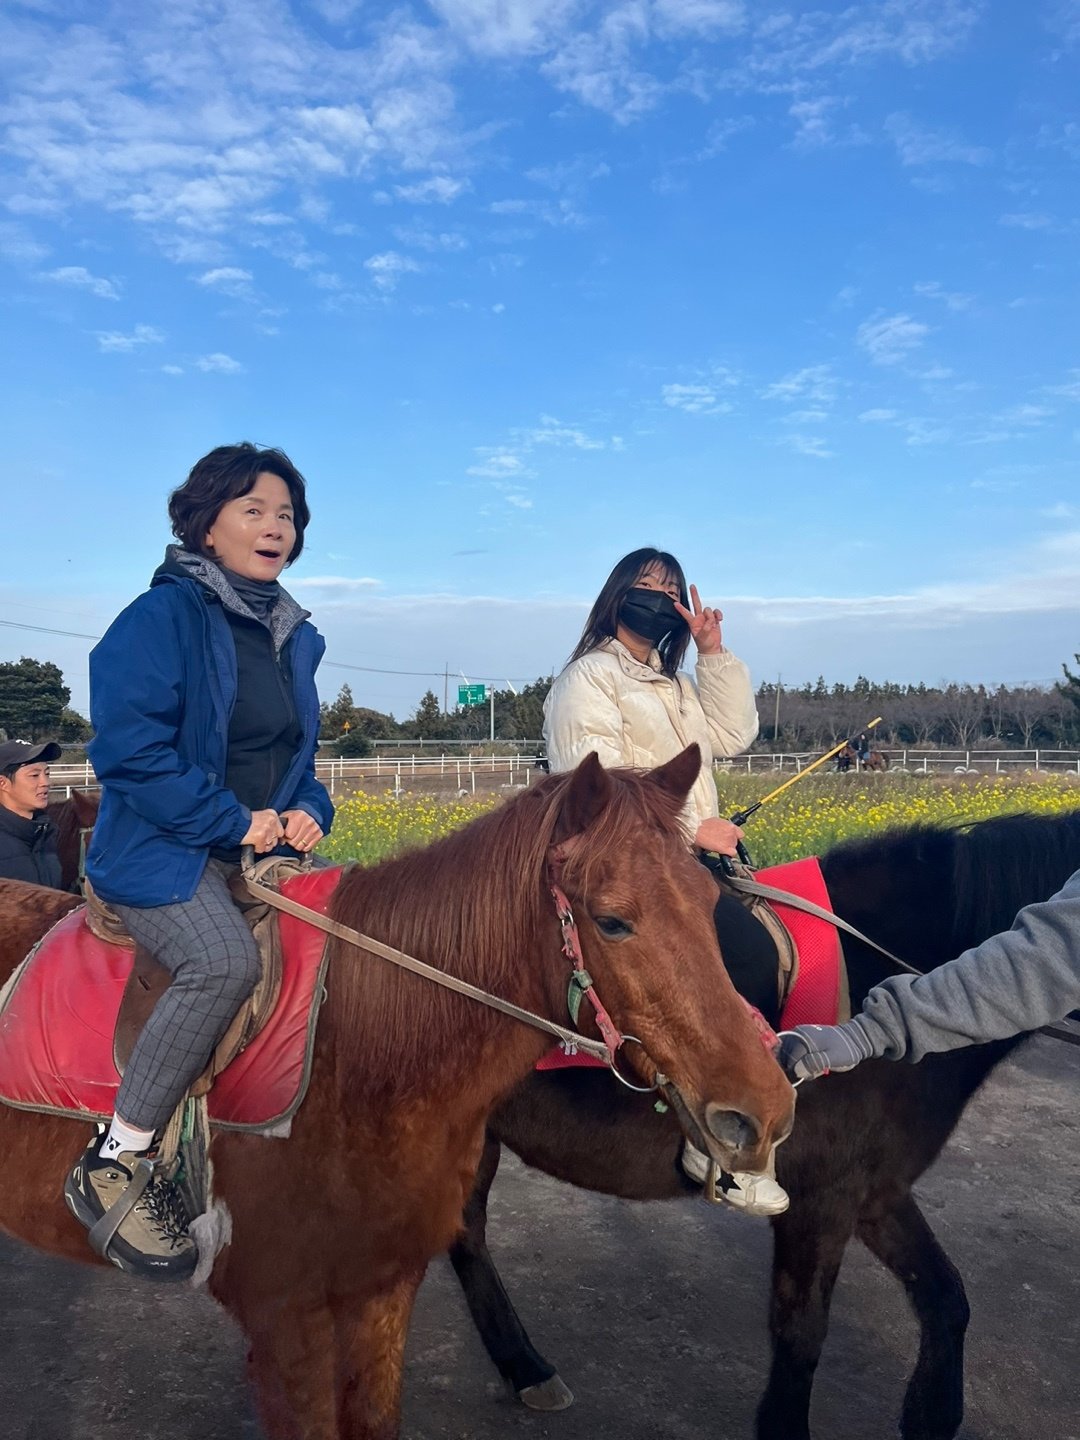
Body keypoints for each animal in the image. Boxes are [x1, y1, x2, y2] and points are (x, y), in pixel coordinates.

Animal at [0, 748, 794, 1440]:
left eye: (709, 900)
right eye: (612, 919)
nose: (765, 1110)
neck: (358, 1046)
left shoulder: (382, 1293)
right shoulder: (285, 1317)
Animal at [449, 812, 1080, 1440]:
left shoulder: (874, 1192)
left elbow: (946, 1297)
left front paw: (932, 1414)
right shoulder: (820, 1200)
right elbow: (801, 1334)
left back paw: (524, 1367)